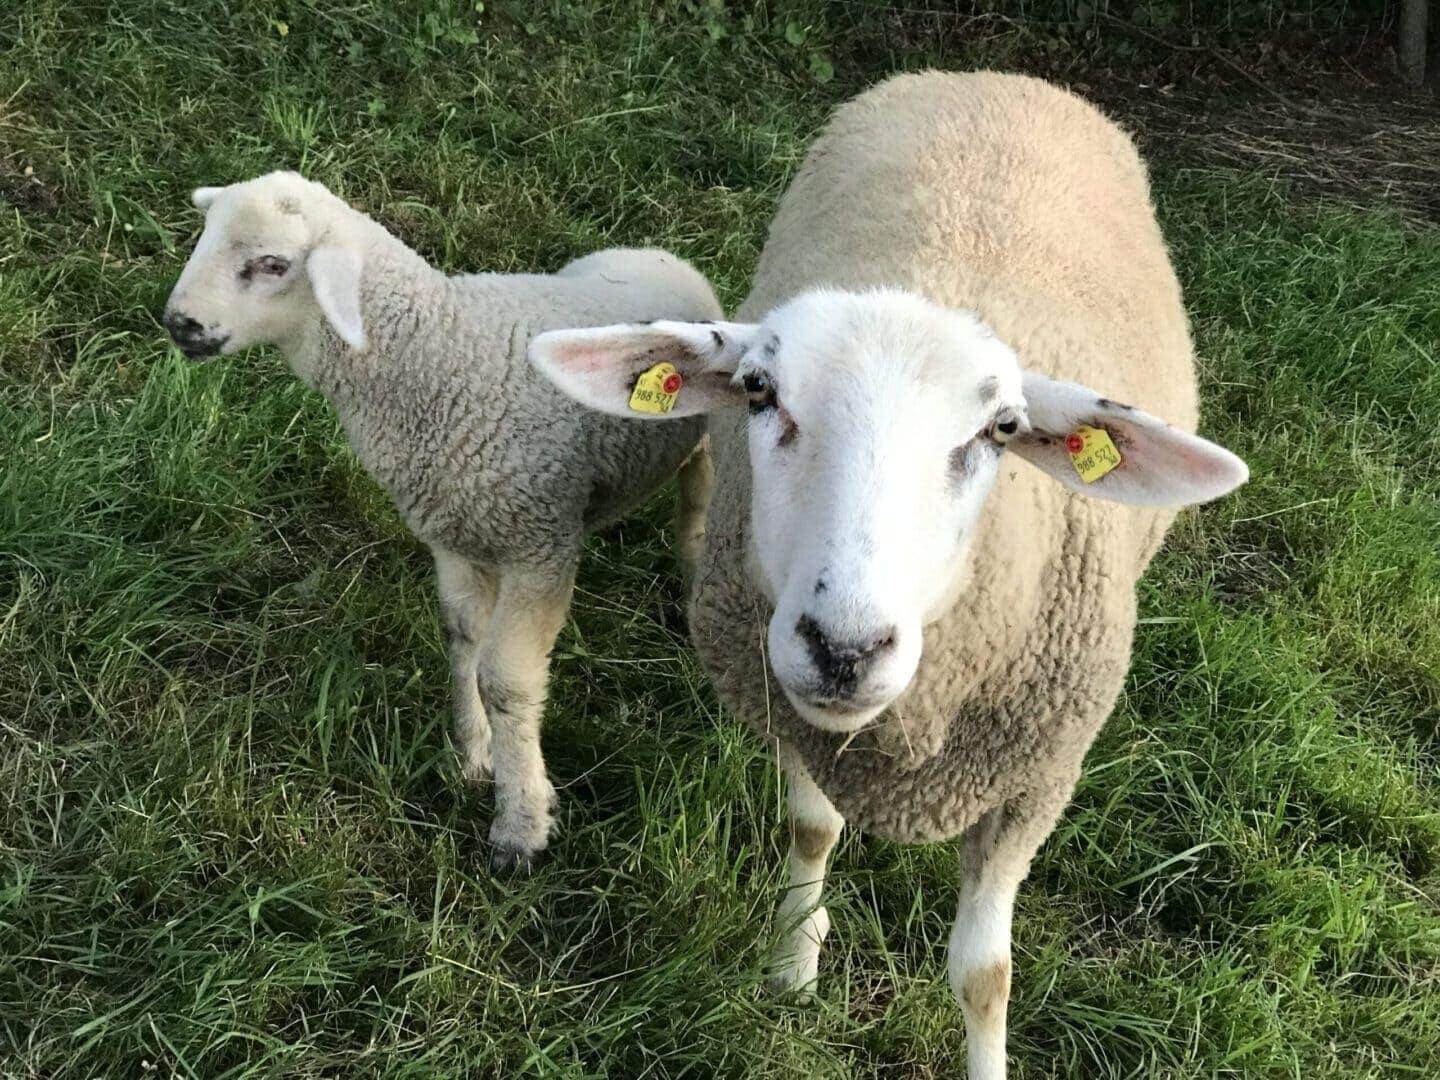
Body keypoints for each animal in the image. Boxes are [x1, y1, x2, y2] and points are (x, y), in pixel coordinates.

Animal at [162, 171, 722, 873]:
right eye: (205, 235)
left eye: (271, 264)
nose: (179, 324)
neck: (434, 356)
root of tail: (662, 255)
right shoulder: (455, 537)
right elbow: (462, 640)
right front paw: (474, 756)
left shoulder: (540, 545)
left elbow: (507, 682)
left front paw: (521, 822)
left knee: (699, 491)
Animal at [528, 72, 1248, 1077]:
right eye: (758, 392)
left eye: (1001, 430)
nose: (844, 648)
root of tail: (998, 76)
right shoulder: (785, 703)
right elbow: (811, 829)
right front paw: (792, 965)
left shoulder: (1034, 781)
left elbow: (985, 977)